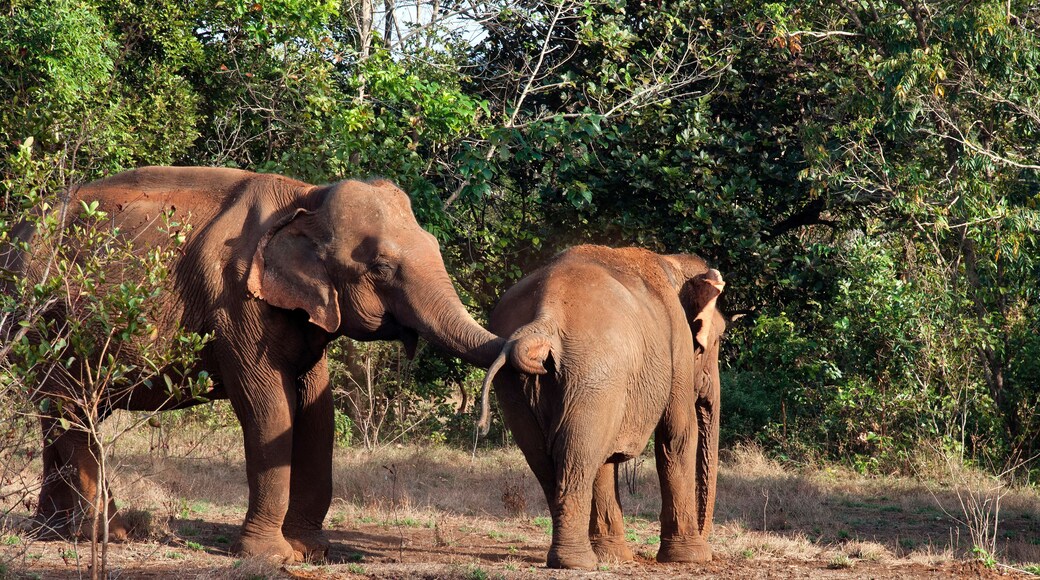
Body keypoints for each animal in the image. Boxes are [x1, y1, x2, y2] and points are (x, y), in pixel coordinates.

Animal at [2, 167, 504, 561]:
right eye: (380, 266)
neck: (306, 196)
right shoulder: (236, 303)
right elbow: (268, 408)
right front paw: (271, 557)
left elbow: (318, 413)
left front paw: (313, 551)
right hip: (45, 324)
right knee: (69, 409)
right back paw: (105, 534)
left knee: (56, 415)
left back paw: (53, 531)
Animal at [477, 245, 725, 569]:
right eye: (717, 341)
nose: (709, 547)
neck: (673, 262)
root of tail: (545, 317)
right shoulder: (678, 346)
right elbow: (678, 435)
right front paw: (691, 557)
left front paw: (614, 556)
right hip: (595, 371)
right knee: (579, 453)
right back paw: (578, 562)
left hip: (522, 387)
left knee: (550, 457)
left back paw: (576, 556)